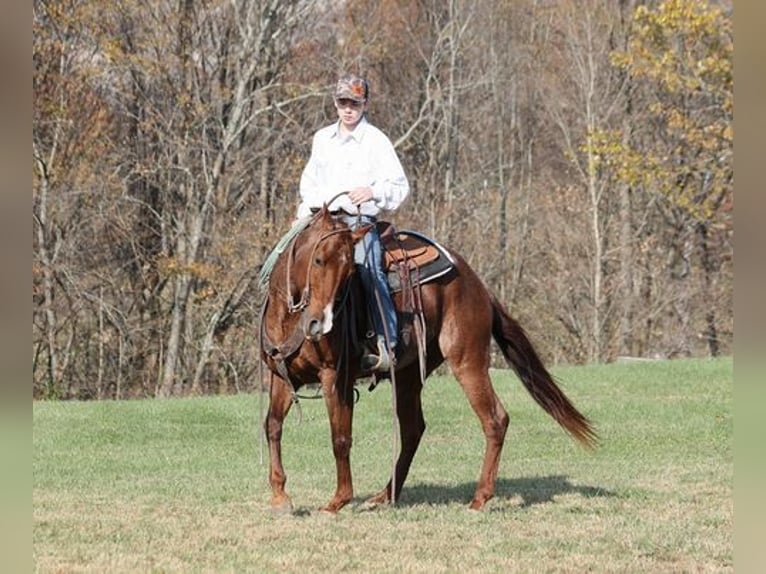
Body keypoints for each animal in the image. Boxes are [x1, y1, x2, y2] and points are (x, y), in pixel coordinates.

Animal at [260, 205, 596, 516]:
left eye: (349, 273)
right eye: (318, 260)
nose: (321, 324)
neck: (291, 317)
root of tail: (478, 285)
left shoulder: (335, 378)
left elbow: (340, 438)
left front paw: (337, 501)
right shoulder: (280, 376)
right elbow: (273, 426)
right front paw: (280, 496)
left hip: (467, 361)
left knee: (495, 419)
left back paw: (479, 498)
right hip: (409, 375)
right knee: (413, 429)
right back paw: (385, 495)